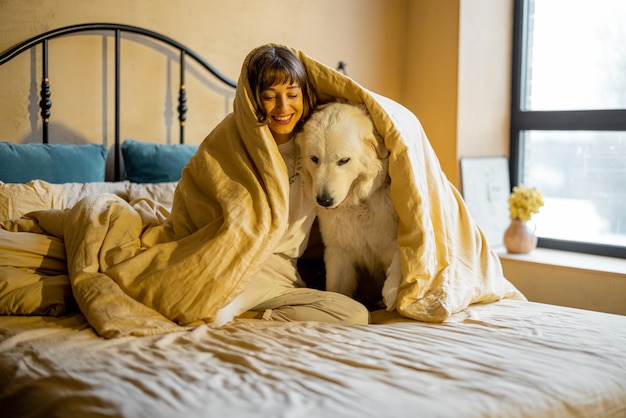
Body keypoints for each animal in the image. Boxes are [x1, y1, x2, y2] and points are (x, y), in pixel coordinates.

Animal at [296, 102, 400, 310]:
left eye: (343, 160)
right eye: (314, 158)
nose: (324, 200)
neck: (358, 205)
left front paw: (391, 293)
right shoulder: (339, 253)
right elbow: (337, 289)